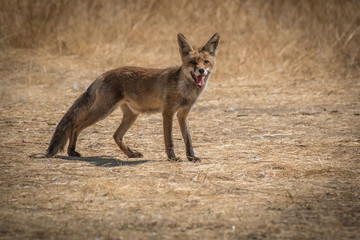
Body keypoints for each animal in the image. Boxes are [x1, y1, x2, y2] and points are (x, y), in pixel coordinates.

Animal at [45, 32, 219, 162]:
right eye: (192, 62)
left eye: (205, 62)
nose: (201, 71)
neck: (185, 90)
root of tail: (103, 74)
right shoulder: (168, 112)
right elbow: (169, 140)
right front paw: (173, 158)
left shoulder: (183, 114)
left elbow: (188, 139)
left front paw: (192, 157)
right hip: (103, 111)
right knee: (75, 126)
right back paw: (71, 151)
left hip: (131, 115)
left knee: (116, 135)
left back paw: (130, 153)